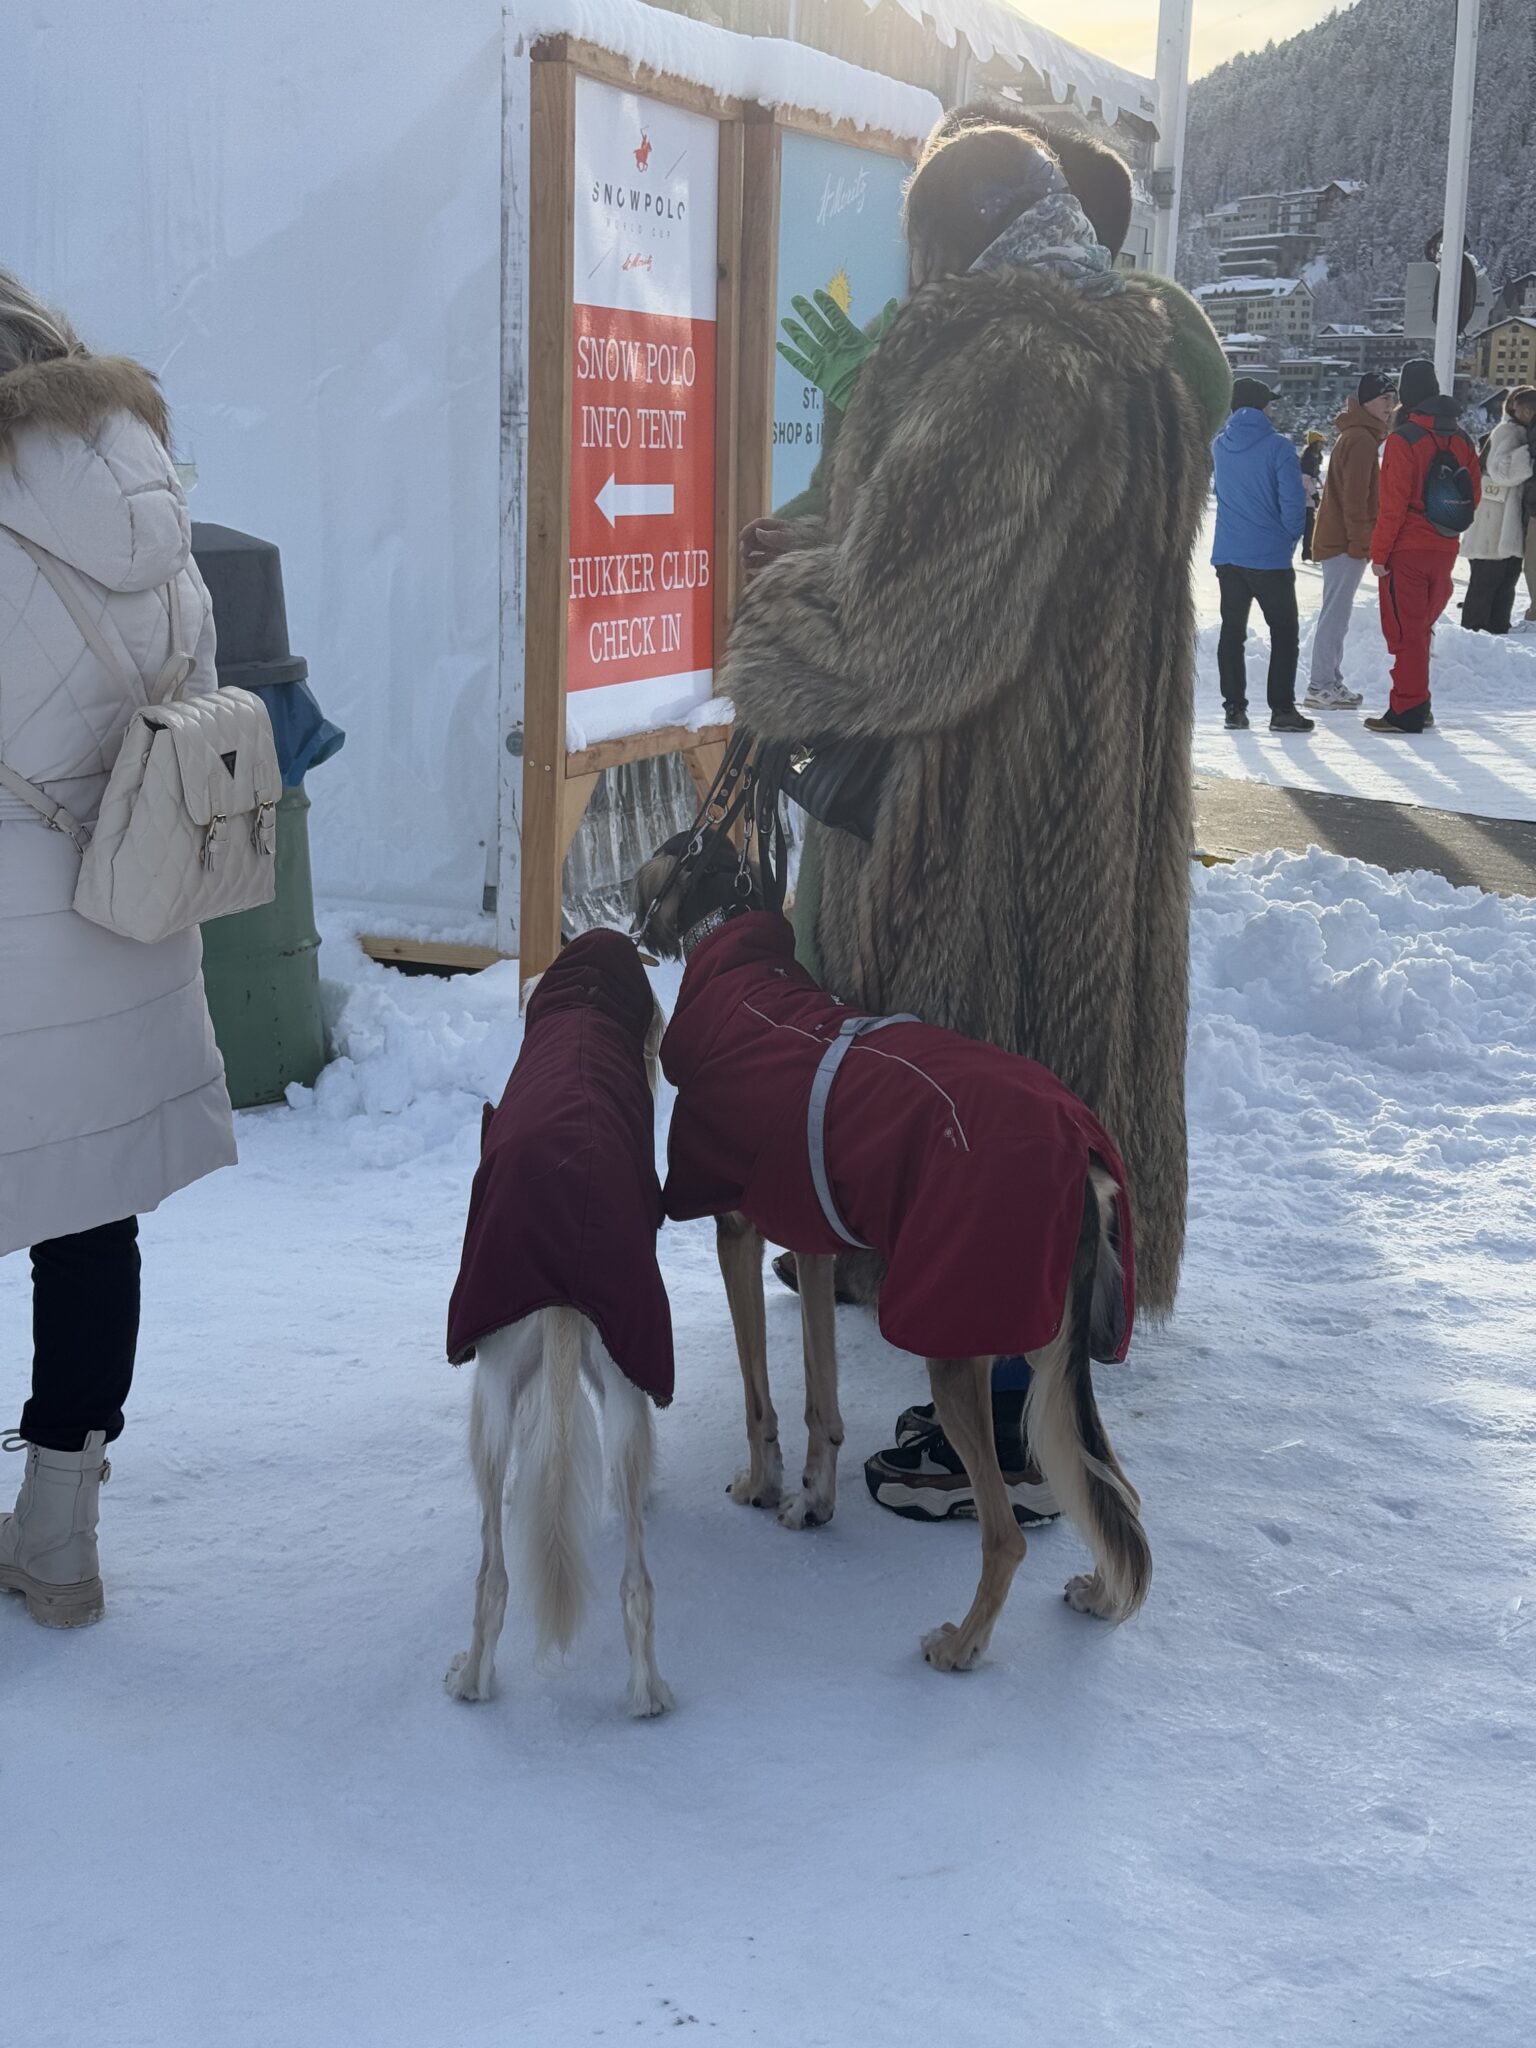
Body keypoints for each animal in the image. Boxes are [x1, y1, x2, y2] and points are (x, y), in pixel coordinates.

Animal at [442, 929, 675, 1712]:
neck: (584, 1012)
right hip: (626, 1386)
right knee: (636, 1583)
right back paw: (646, 1692)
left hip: (489, 1397)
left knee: (492, 1576)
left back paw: (472, 1679)